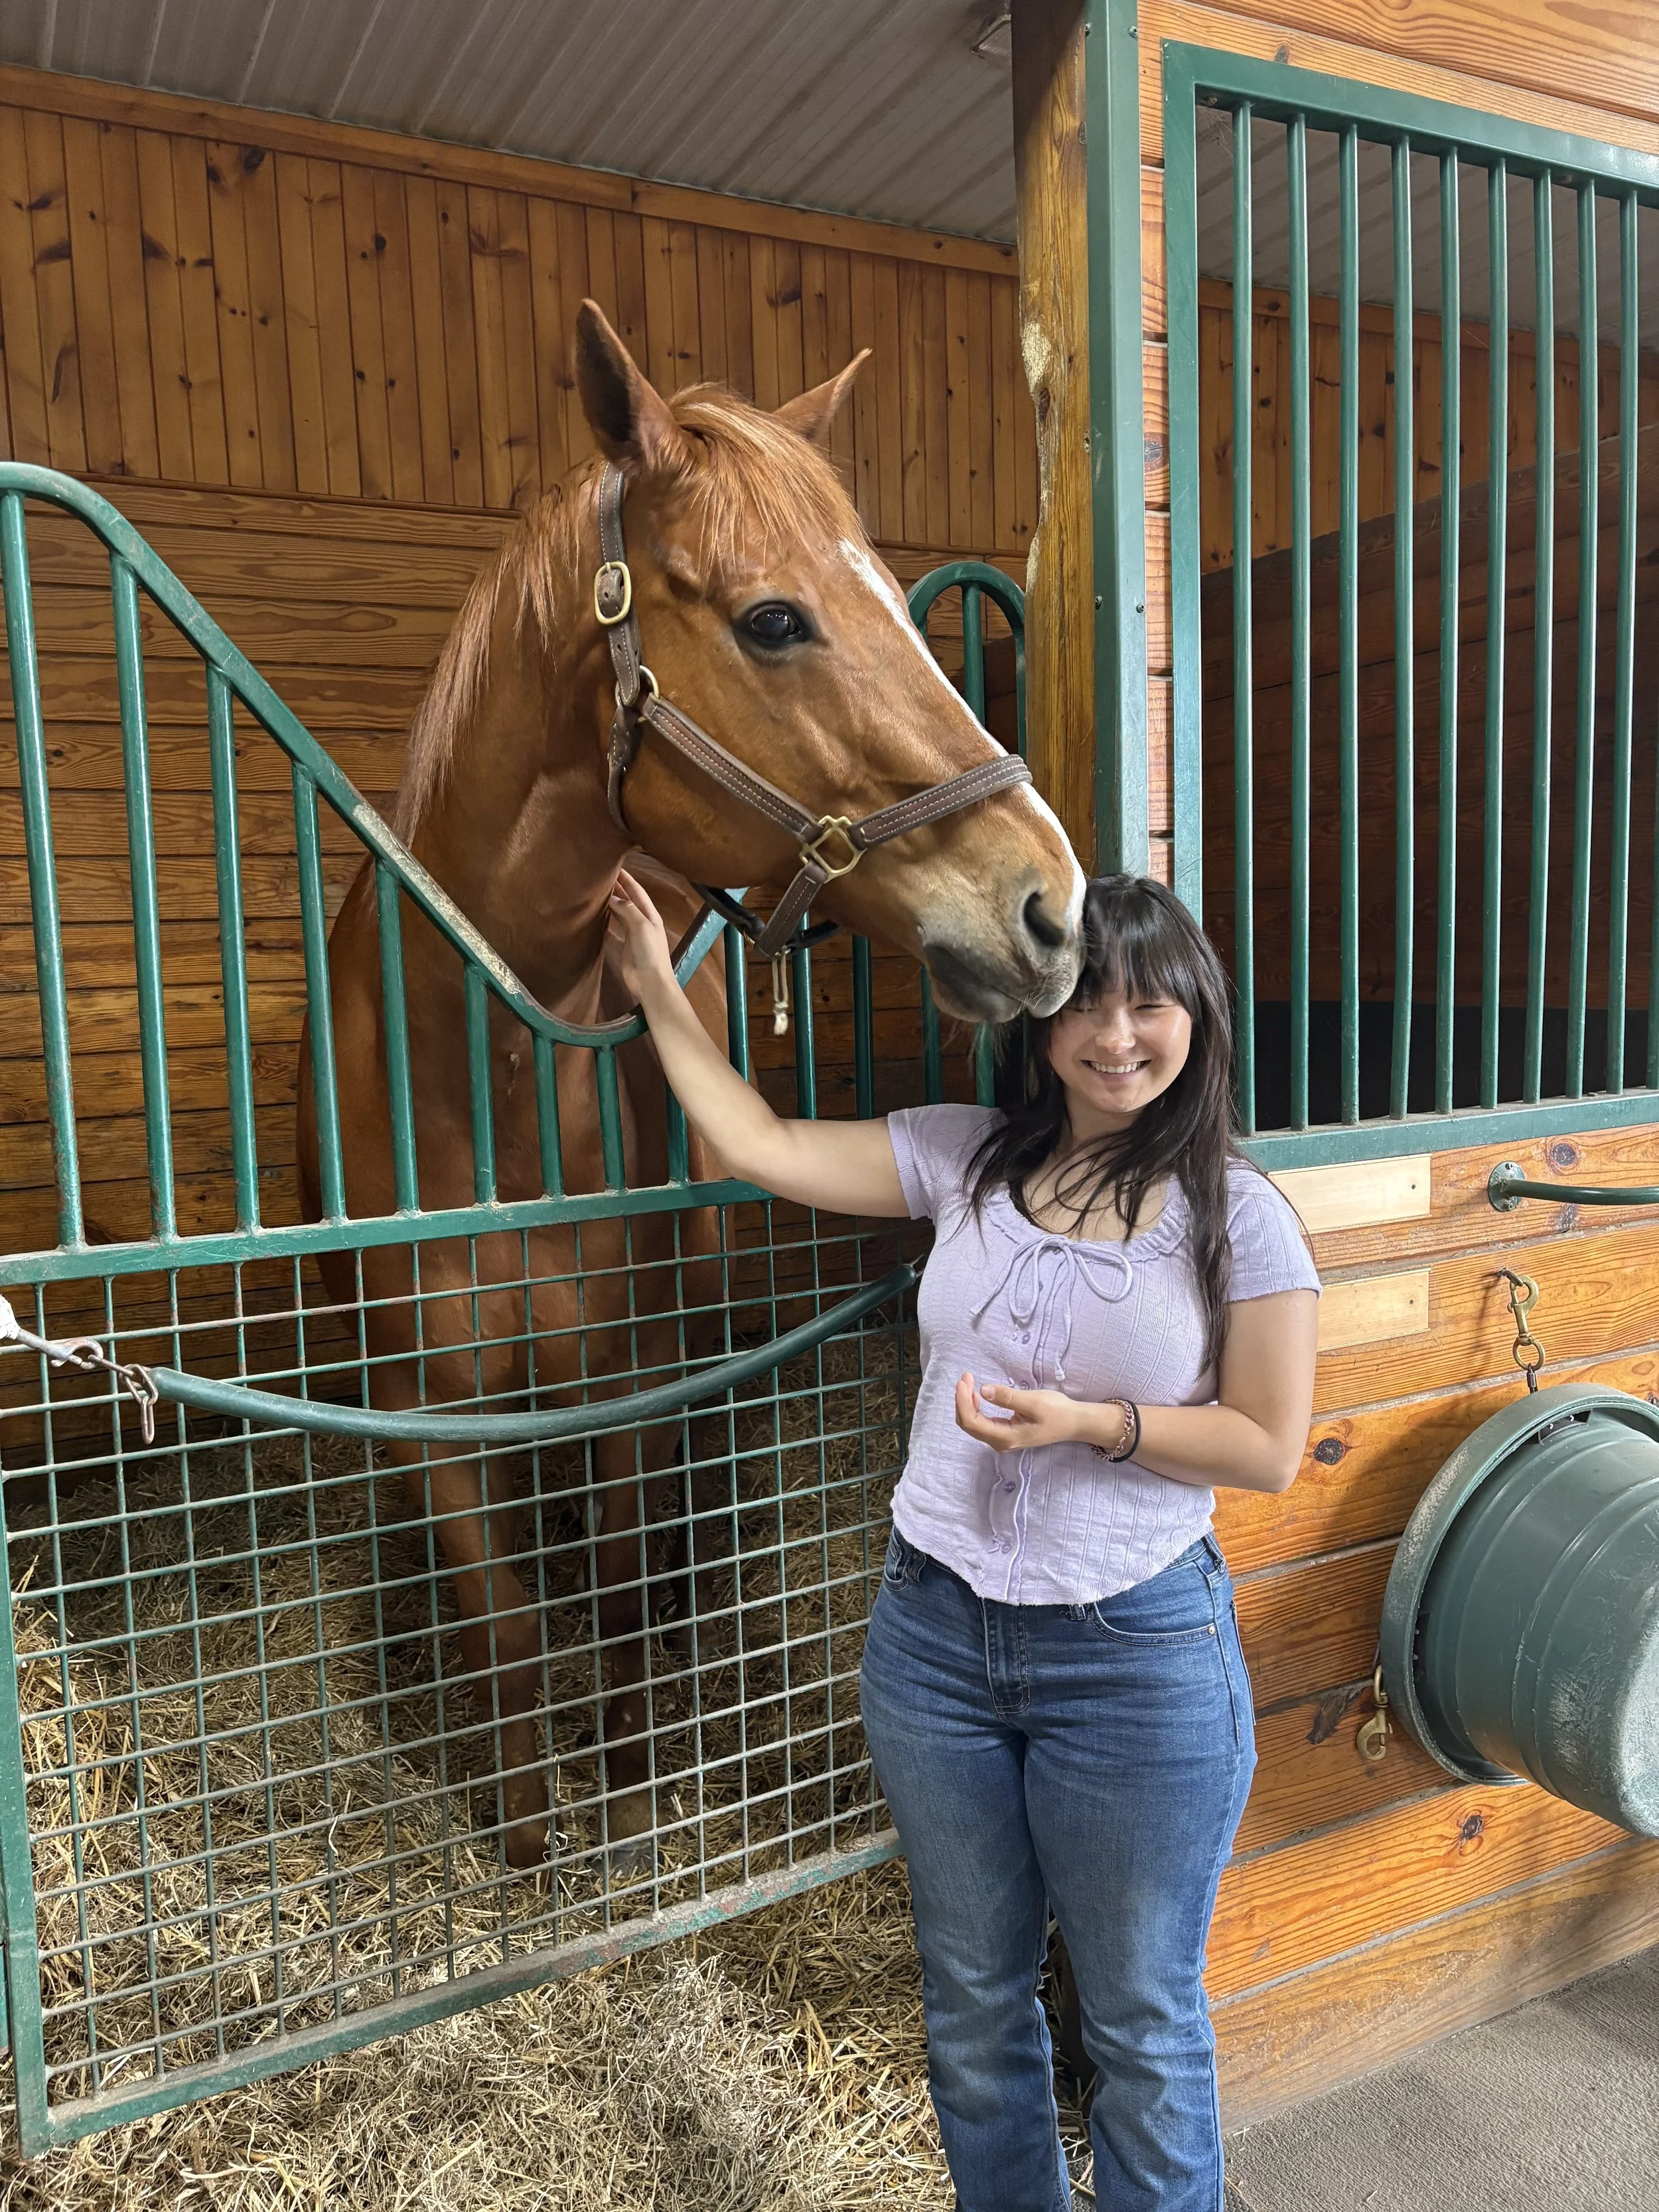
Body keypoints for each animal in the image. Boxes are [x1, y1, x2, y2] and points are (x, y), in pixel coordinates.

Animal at [297, 300, 1085, 1871]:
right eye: (773, 619)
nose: (1051, 904)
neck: (488, 1075)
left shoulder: (620, 1378)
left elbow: (600, 1588)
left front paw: (622, 1778)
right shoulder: (429, 1400)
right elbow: (505, 1622)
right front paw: (527, 1829)